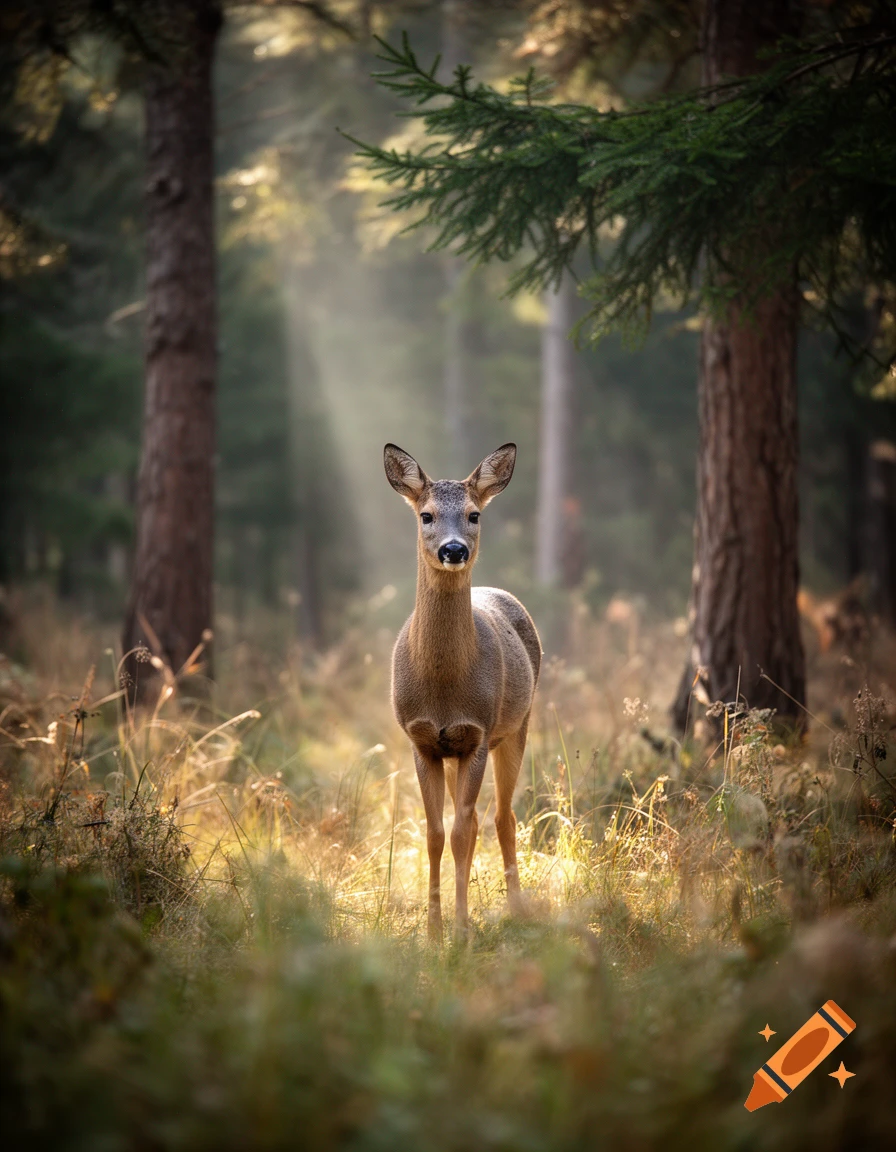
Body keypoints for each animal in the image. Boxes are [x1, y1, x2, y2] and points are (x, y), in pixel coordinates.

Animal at [384, 442, 541, 940]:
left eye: (474, 514)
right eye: (426, 515)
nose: (454, 549)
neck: (444, 689)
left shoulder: (476, 734)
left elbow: (460, 832)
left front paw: (460, 927)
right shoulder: (422, 741)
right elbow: (435, 833)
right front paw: (434, 928)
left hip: (516, 726)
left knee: (500, 817)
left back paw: (516, 906)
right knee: (469, 821)